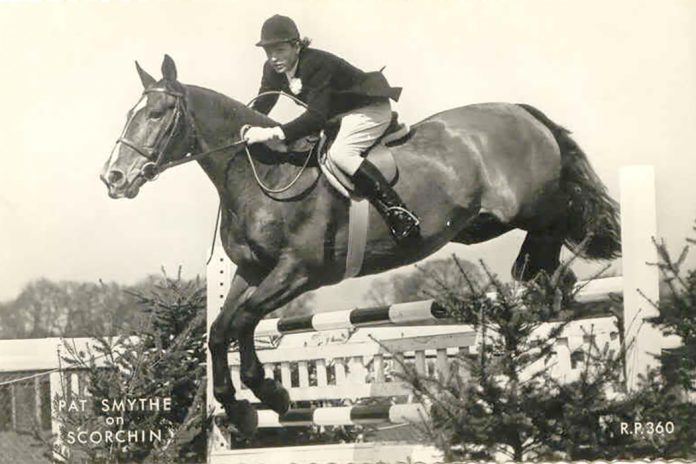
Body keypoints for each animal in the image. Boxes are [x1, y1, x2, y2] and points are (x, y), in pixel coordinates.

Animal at [100, 55, 620, 435]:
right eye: (129, 114)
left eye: (156, 114)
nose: (114, 178)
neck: (263, 171)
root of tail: (520, 110)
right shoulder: (251, 271)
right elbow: (220, 330)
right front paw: (240, 409)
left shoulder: (299, 271)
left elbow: (244, 321)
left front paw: (270, 394)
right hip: (481, 223)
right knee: (550, 260)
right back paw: (544, 287)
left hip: (530, 207)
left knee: (561, 223)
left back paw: (539, 279)